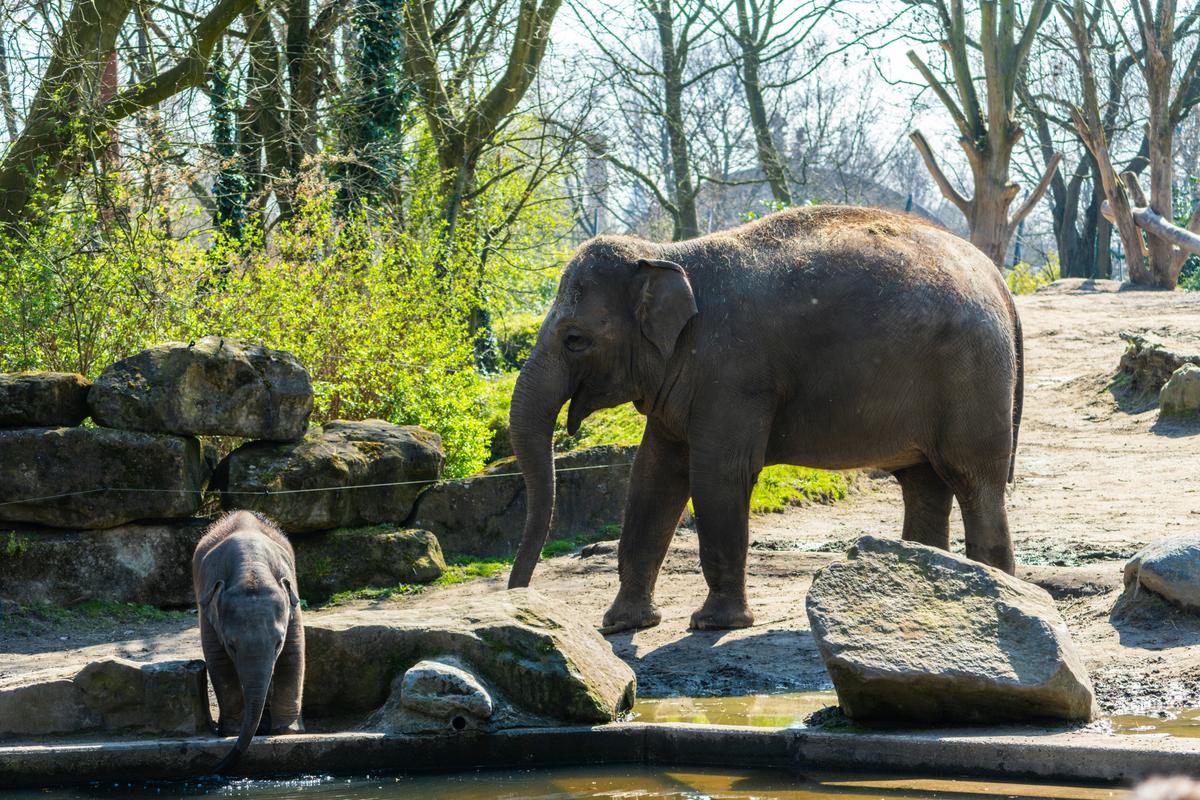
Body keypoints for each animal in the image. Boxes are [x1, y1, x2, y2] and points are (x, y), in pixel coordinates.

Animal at [192, 510, 304, 772]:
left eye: (278, 643)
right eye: (232, 645)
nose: (214, 769)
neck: (251, 567)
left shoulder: (293, 600)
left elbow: (293, 654)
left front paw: (286, 732)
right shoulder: (207, 604)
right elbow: (219, 662)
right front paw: (231, 732)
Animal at [506, 205, 1022, 633]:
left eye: (575, 339)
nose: (520, 602)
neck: (668, 255)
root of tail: (997, 279)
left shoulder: (732, 373)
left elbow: (717, 474)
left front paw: (714, 624)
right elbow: (653, 475)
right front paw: (620, 625)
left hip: (972, 378)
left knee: (974, 480)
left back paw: (998, 595)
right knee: (923, 482)